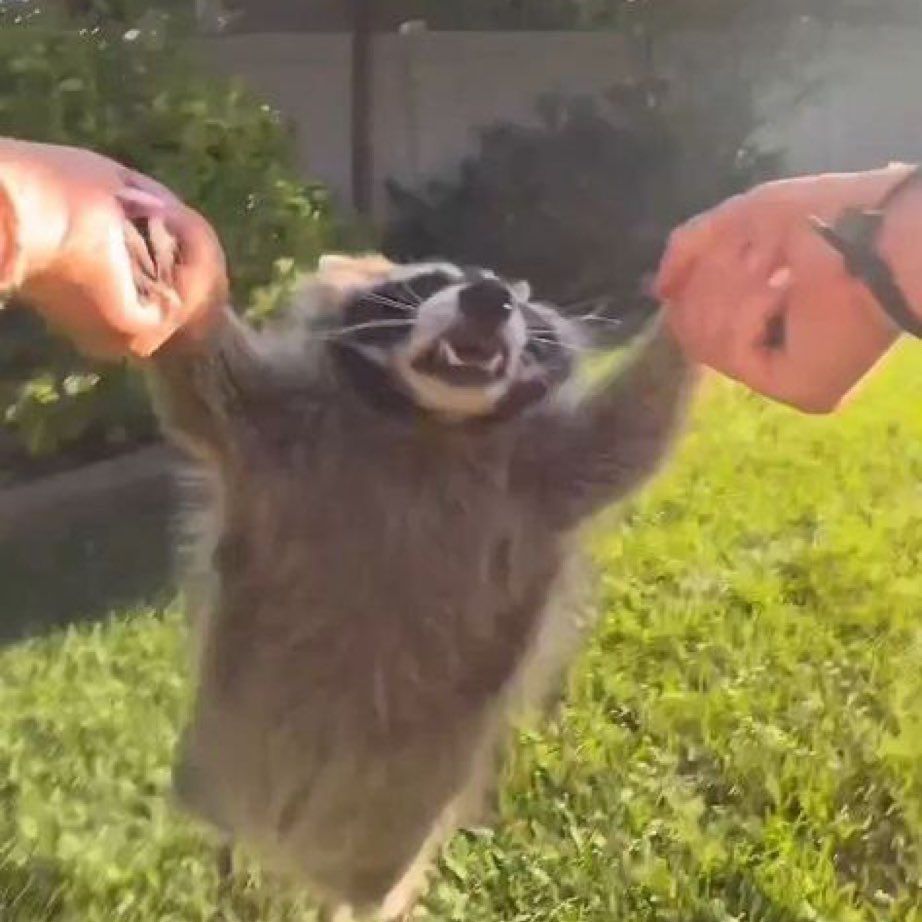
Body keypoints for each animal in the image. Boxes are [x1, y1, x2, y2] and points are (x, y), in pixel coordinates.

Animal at [150, 254, 696, 920]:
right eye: (429, 282)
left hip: (391, 838)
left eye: (520, 300)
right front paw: (169, 278)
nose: (489, 297)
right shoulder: (274, 429)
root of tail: (287, 845)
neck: (435, 422)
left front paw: (694, 319)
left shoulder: (544, 475)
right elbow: (201, 384)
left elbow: (627, 436)